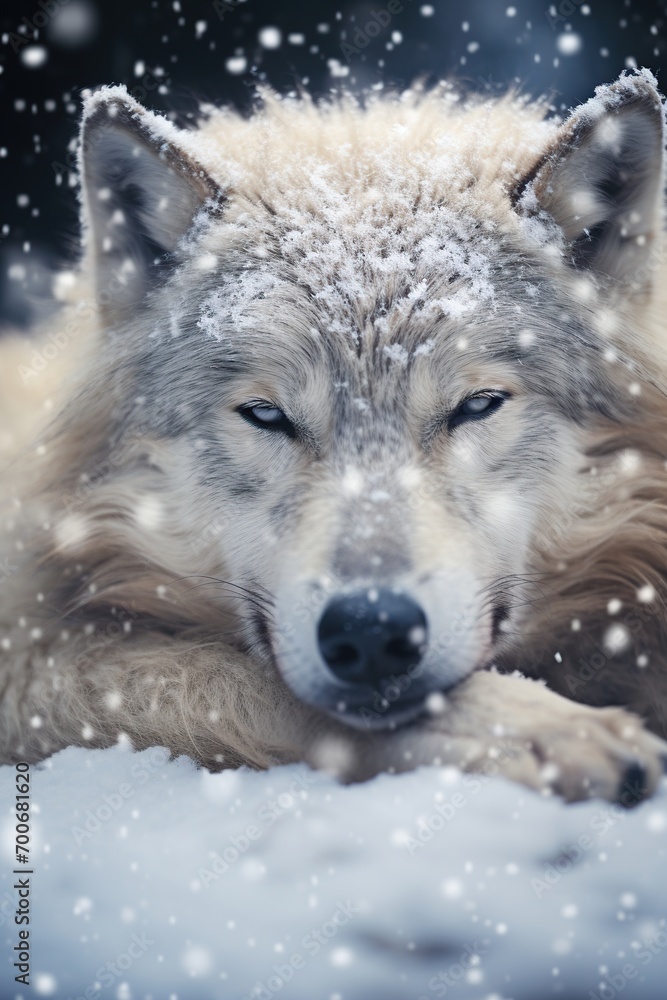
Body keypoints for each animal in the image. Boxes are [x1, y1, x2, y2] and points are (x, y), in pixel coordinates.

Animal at [2, 69, 667, 804]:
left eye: (477, 405)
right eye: (266, 415)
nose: (372, 631)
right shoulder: (30, 653)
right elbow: (236, 681)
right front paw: (545, 728)